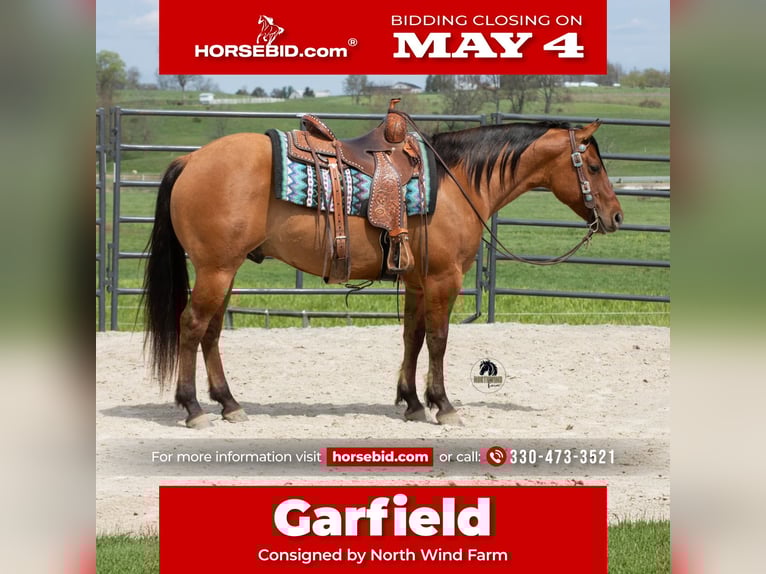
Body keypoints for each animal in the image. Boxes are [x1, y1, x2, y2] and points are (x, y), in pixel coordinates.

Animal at [142, 116, 623, 429]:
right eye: (593, 167)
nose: (616, 217)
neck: (457, 182)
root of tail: (190, 161)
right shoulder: (444, 279)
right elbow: (438, 339)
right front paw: (443, 405)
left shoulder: (417, 282)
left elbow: (412, 337)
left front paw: (411, 402)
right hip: (216, 270)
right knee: (192, 325)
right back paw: (193, 409)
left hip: (225, 270)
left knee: (211, 331)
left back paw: (229, 403)